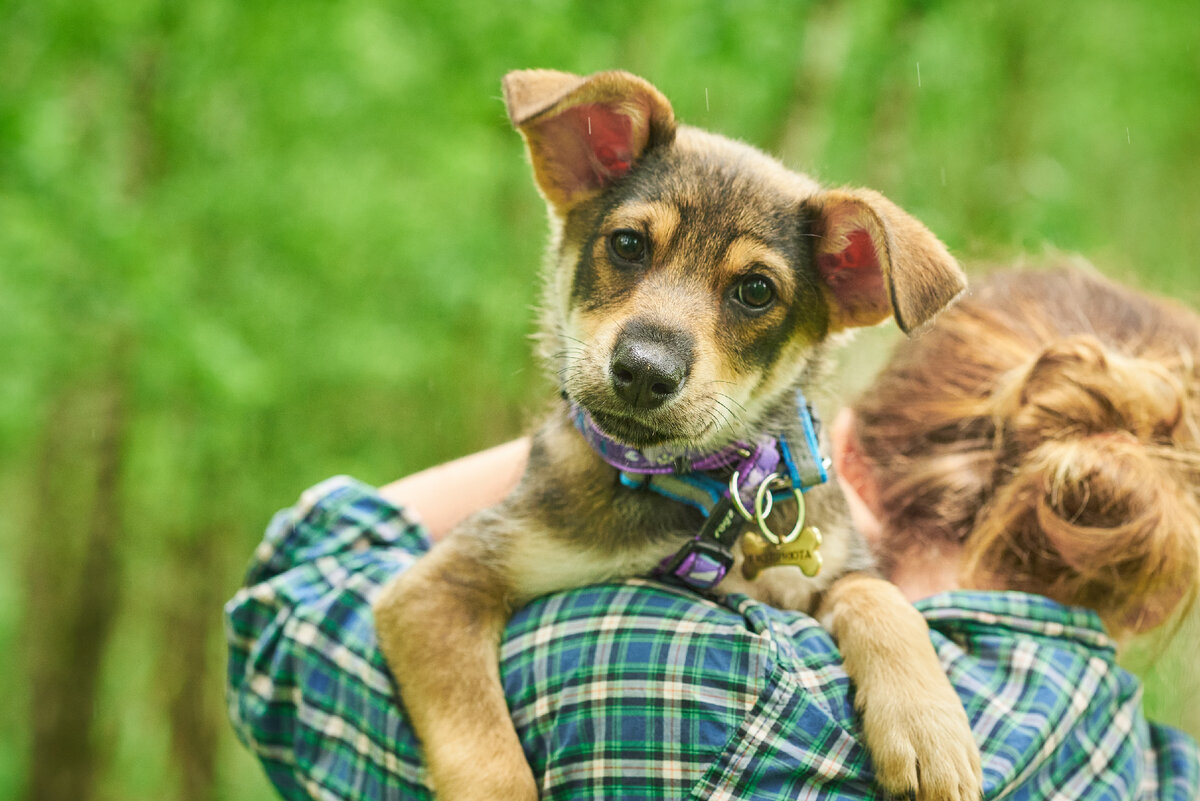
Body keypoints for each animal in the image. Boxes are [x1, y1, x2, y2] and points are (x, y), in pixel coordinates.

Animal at [376, 70, 984, 801]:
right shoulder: (438, 586)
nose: (644, 370)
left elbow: (881, 597)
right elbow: (486, 751)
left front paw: (929, 729)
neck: (697, 492)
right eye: (627, 244)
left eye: (757, 291)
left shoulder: (833, 564)